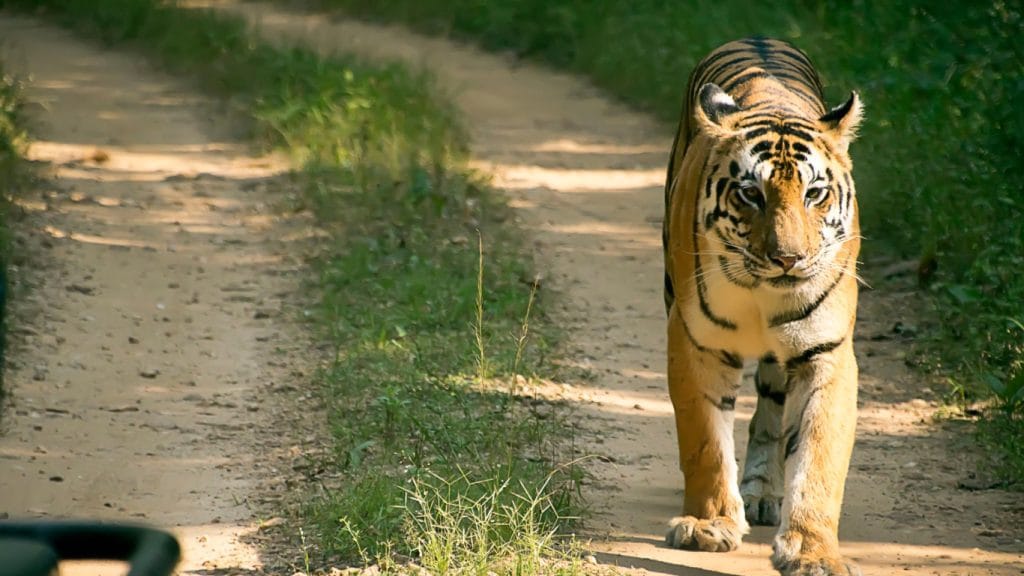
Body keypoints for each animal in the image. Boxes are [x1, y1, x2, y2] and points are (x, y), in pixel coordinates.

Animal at [661, 37, 864, 575]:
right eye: (751, 194)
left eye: (815, 193)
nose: (787, 259)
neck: (762, 290)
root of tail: (759, 38)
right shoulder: (694, 340)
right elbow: (705, 441)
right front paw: (707, 526)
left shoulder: (827, 353)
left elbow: (819, 460)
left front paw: (812, 551)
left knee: (771, 413)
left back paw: (762, 492)